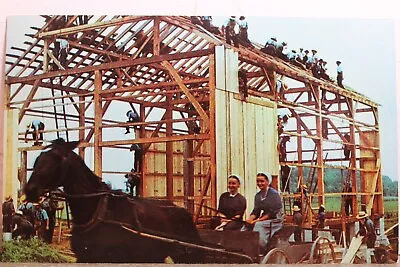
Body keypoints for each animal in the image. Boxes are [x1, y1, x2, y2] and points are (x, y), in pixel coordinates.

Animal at [23, 140, 203, 264]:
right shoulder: (85, 257)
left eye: (57, 159)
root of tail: (184, 212)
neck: (97, 211)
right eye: (39, 158)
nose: (30, 190)